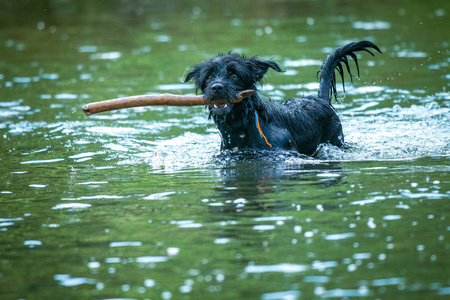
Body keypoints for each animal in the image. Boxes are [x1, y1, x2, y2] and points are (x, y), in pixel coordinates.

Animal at [185, 40, 382, 156]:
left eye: (234, 75)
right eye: (209, 76)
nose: (217, 87)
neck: (241, 125)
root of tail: (321, 100)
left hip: (335, 140)